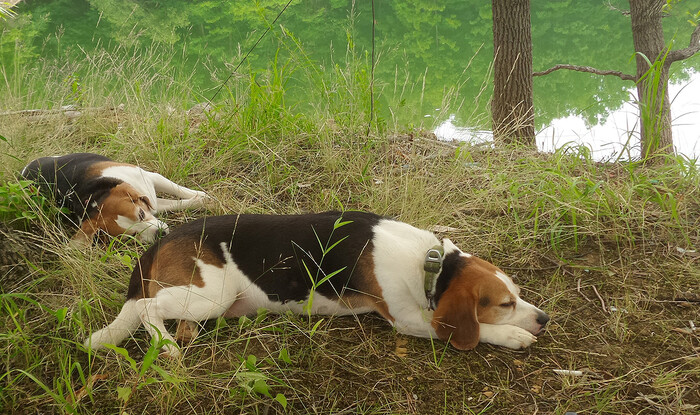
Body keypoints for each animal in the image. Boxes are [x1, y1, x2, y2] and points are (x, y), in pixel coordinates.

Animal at [21, 153, 206, 244]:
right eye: (131, 236)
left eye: (140, 214)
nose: (161, 234)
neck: (93, 197)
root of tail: (23, 172)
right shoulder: (154, 202)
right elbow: (174, 204)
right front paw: (199, 200)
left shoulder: (148, 178)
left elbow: (178, 189)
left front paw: (204, 197)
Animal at [85, 211, 548, 358]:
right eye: (504, 304)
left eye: (518, 294)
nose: (544, 318)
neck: (430, 263)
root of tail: (161, 241)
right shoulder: (408, 320)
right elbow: (477, 330)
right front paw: (511, 335)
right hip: (211, 294)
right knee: (147, 308)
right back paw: (166, 347)